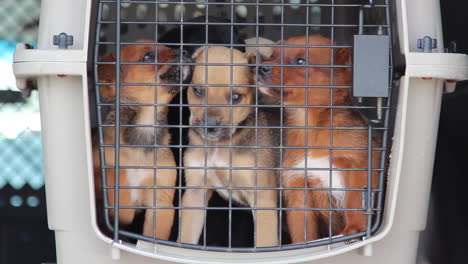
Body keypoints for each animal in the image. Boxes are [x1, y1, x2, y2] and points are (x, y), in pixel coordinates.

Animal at [180, 46, 280, 248]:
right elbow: (185, 239)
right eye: (198, 91)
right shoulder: (195, 193)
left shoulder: (263, 199)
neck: (220, 146)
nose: (209, 126)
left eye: (235, 97)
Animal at [256, 35, 380, 243]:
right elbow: (303, 232)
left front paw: (354, 229)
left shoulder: (359, 166)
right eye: (273, 55)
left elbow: (355, 202)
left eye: (300, 61)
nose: (259, 67)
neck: (311, 124)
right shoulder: (298, 187)